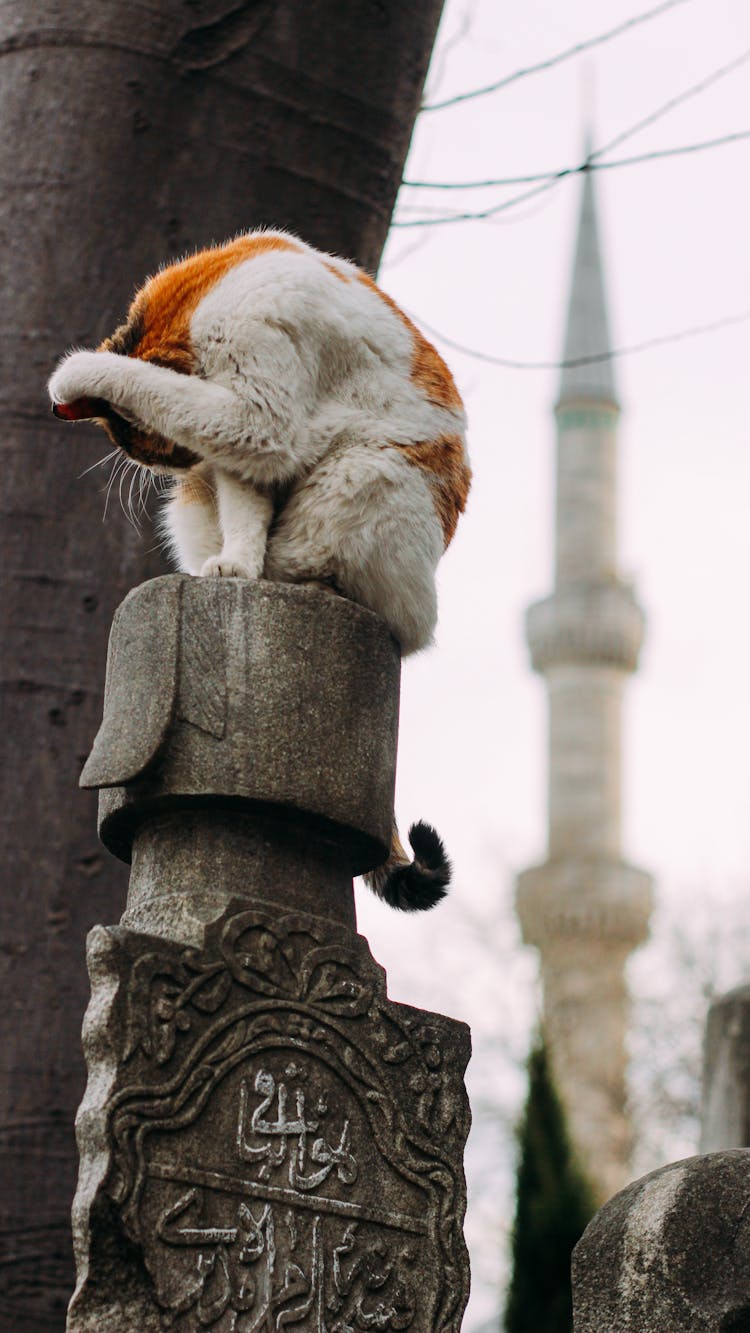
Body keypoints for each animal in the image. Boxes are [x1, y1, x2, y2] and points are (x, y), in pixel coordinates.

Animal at [48, 231, 468, 917]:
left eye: (150, 444)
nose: (171, 465)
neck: (198, 295)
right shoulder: (241, 456)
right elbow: (246, 496)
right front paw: (238, 564)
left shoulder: (257, 401)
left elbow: (222, 418)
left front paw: (77, 371)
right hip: (191, 504)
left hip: (368, 473)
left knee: (374, 596)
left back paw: (296, 577)